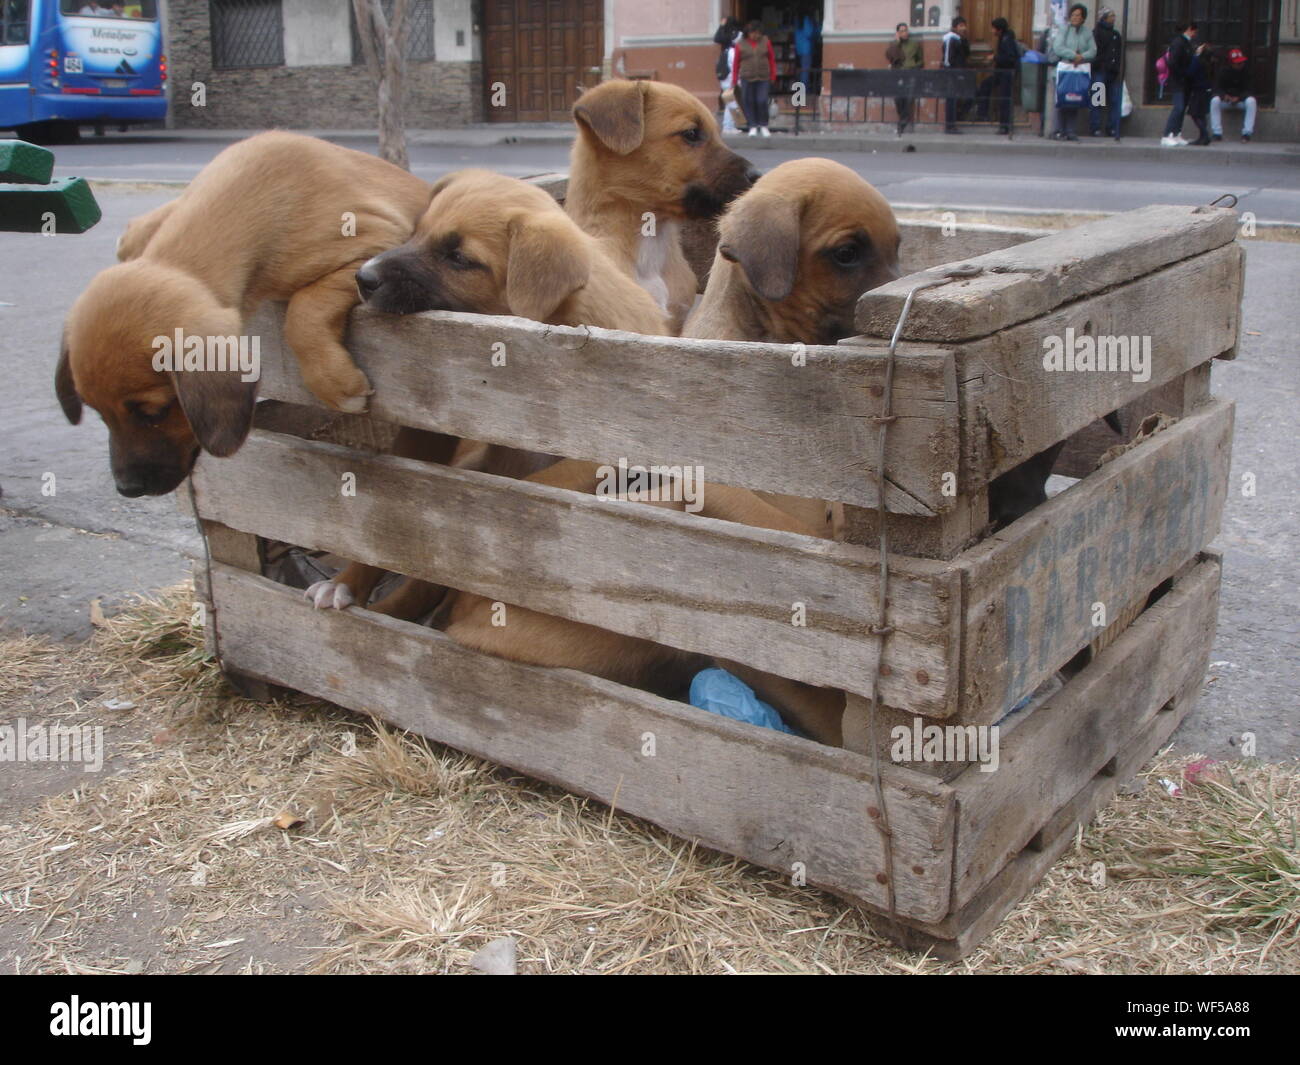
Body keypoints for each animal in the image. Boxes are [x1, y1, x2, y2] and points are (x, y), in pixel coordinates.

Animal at [57, 131, 431, 496]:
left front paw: (336, 383)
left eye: (155, 413)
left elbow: (303, 312)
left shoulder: (375, 242)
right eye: (98, 414)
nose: (127, 489)